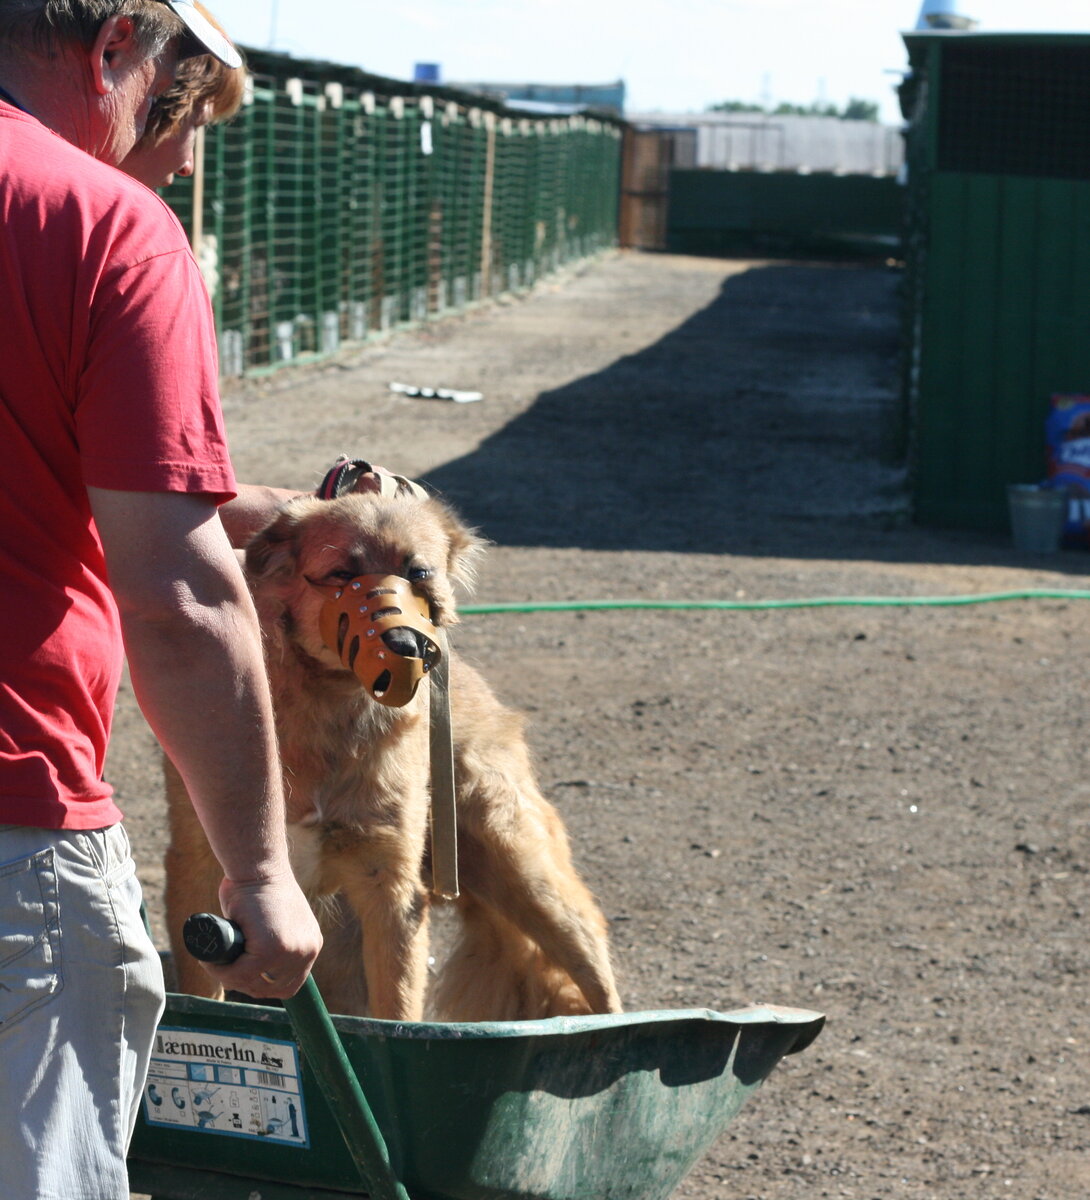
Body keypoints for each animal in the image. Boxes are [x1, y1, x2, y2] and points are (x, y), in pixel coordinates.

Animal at [163, 458, 619, 1022]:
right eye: (342, 573)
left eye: (417, 573)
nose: (407, 646)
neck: (327, 703)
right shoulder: (203, 871)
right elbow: (200, 997)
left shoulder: (391, 887)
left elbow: (398, 1012)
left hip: (523, 871)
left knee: (596, 972)